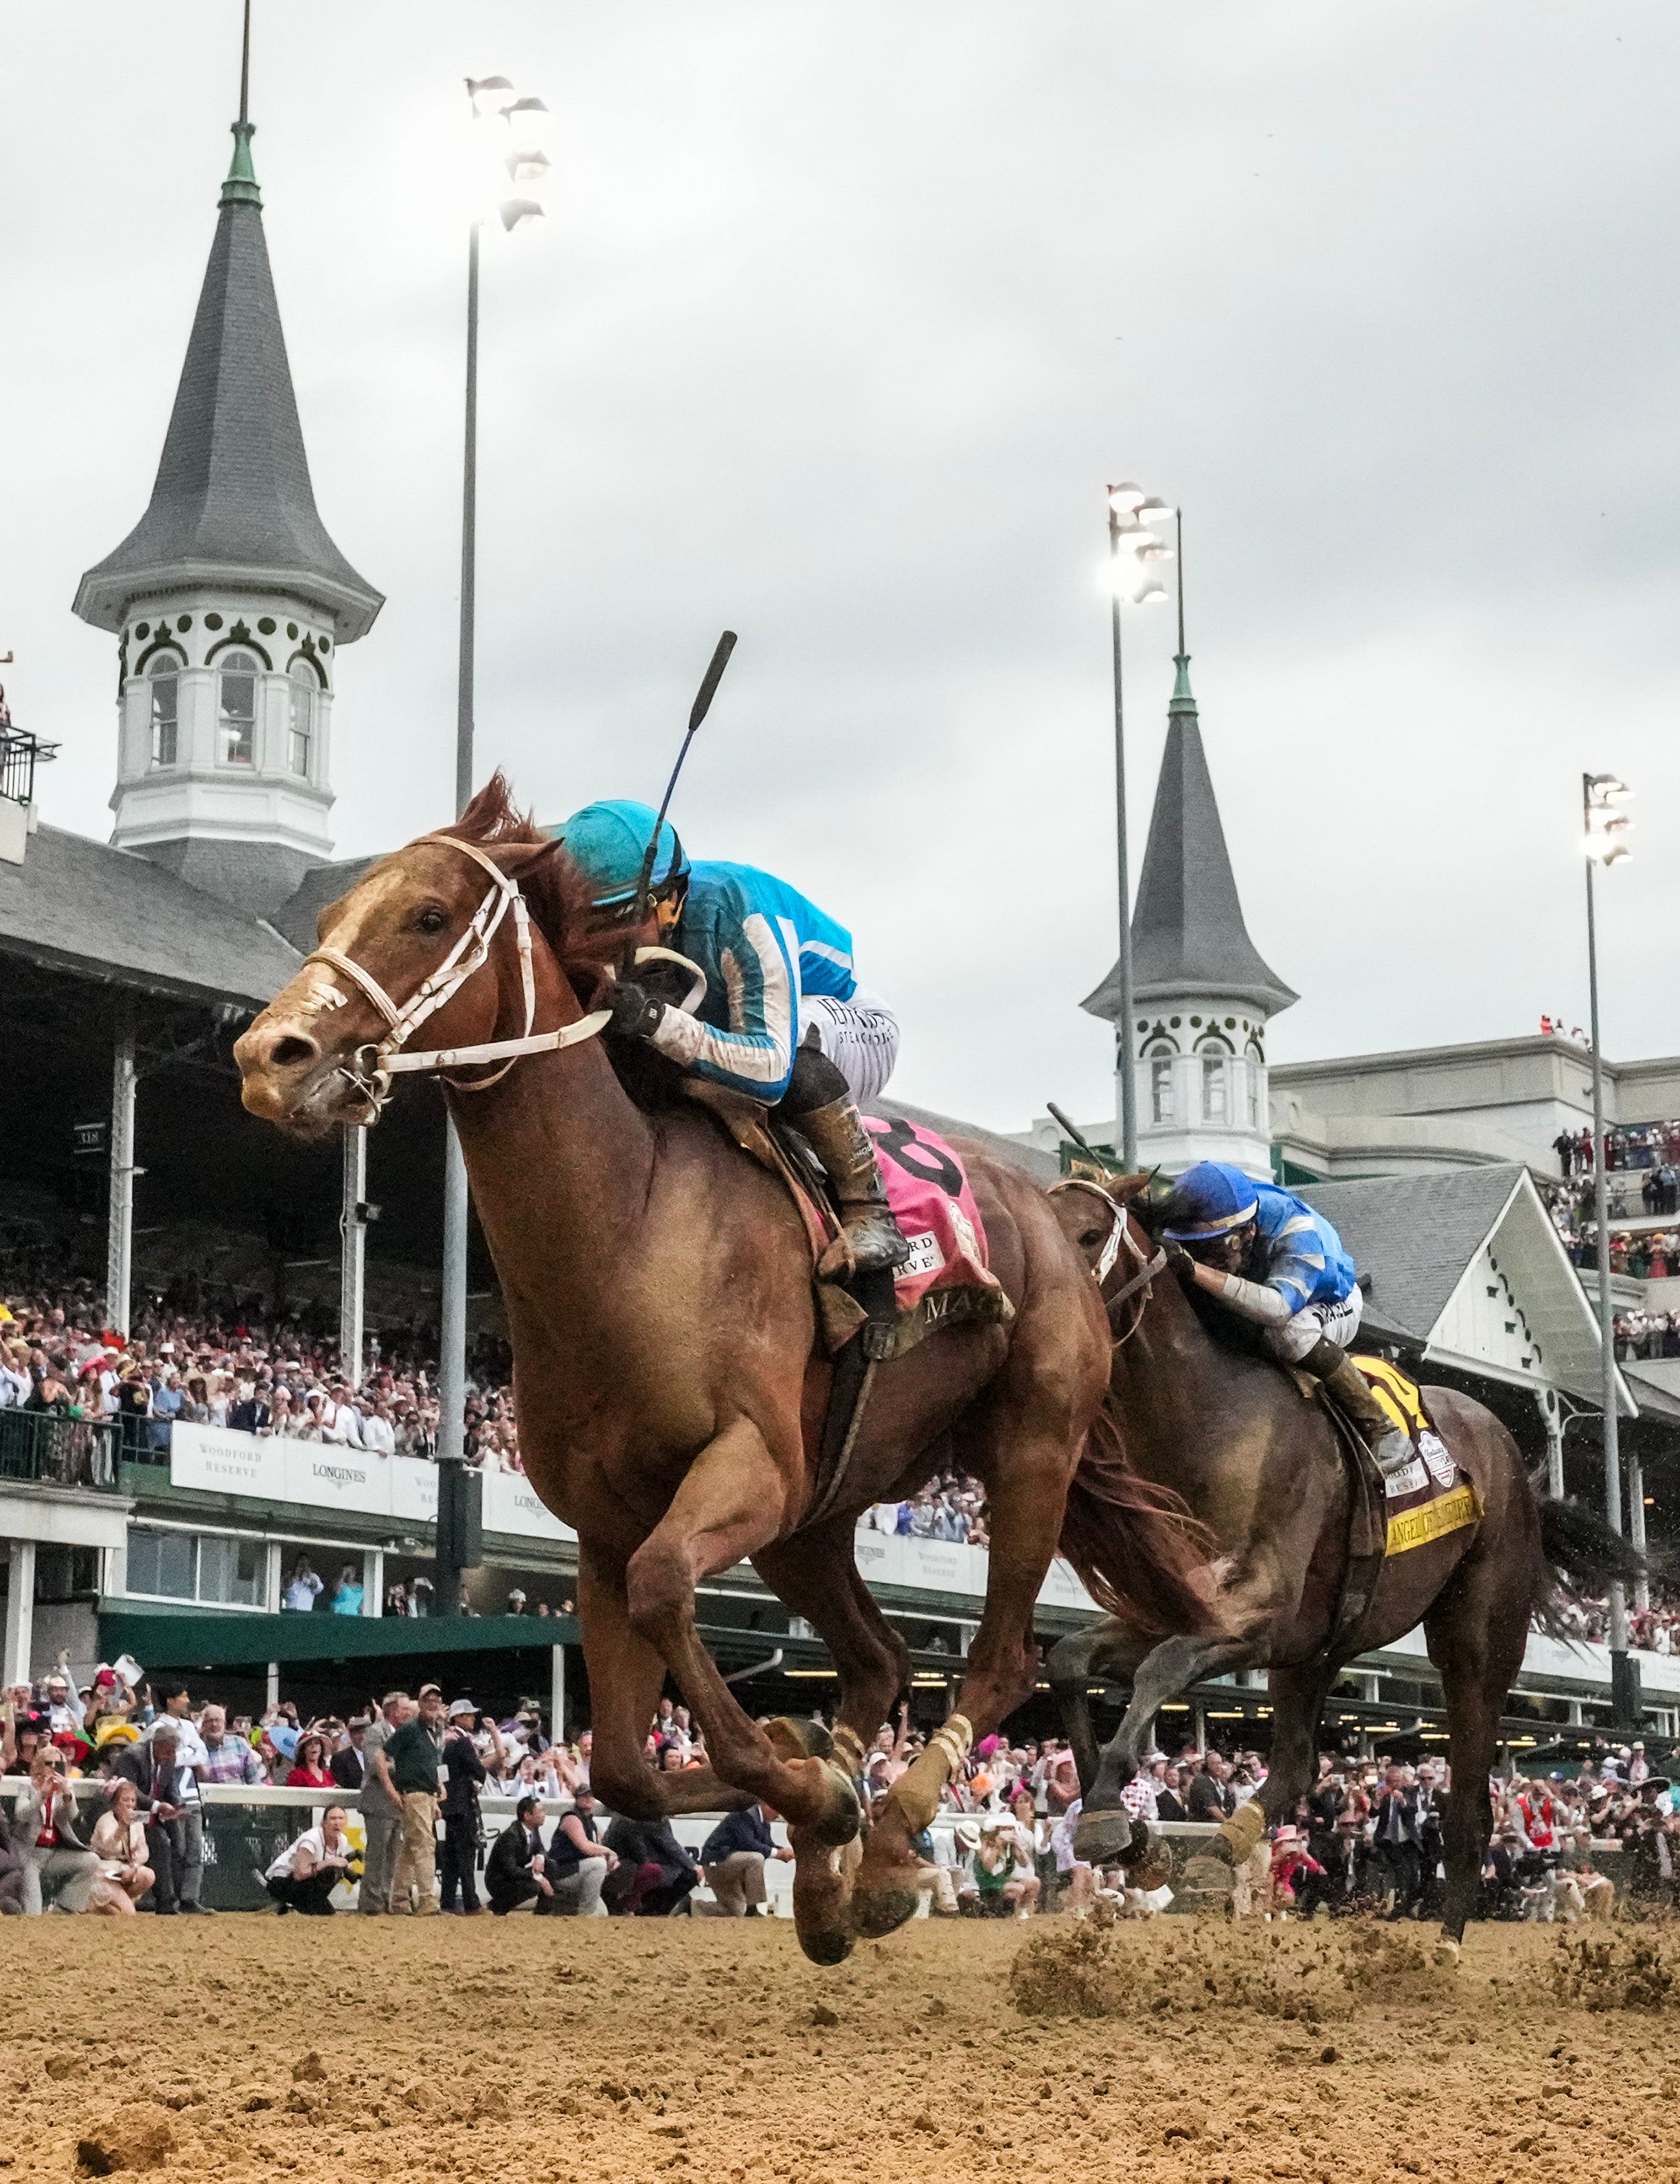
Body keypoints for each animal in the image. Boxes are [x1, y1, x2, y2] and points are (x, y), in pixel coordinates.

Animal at [233, 782, 1223, 1965]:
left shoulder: (744, 1467)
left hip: (1025, 1450)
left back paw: (890, 1834)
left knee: (998, 1661)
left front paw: (818, 1786)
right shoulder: (607, 1524)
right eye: (331, 913)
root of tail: (1063, 1220)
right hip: (816, 1515)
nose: (269, 1055)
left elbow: (669, 1589)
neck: (629, 1223)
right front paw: (812, 1773)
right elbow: (620, 1764)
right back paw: (837, 1860)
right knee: (881, 1658)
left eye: (428, 916)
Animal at [1039, 1179, 1642, 1948]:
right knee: (1298, 1763)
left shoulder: (1257, 1617)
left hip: (1476, 1640)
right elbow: (1067, 1662)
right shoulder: (1186, 1610)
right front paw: (1126, 1831)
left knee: (1467, 1811)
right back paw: (1226, 1844)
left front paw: (1116, 1817)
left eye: (1089, 1235)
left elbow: (1157, 1672)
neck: (1207, 1422)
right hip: (1318, 1646)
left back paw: (1441, 1951)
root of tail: (1514, 1459)